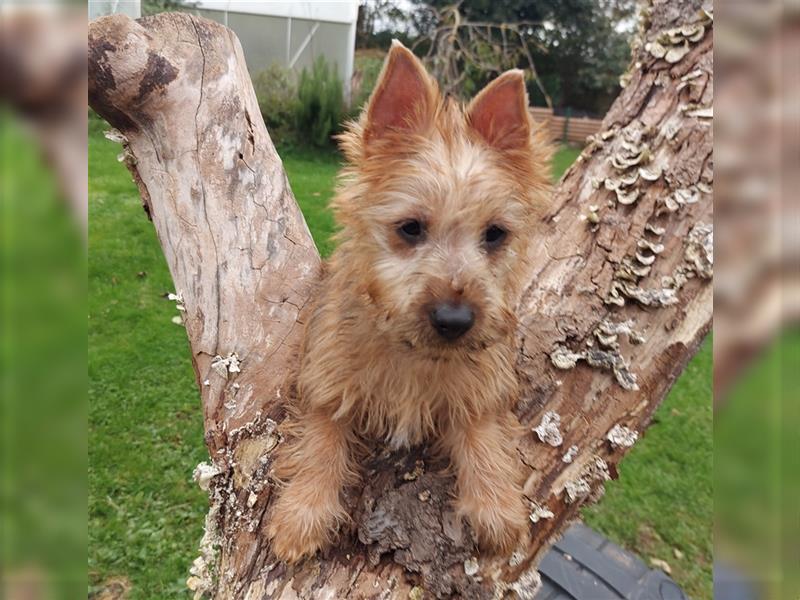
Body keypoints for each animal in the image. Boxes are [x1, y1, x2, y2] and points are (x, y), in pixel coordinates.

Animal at [266, 41, 552, 564]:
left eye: (495, 234)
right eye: (410, 228)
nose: (455, 319)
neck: (412, 354)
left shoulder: (480, 384)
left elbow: (483, 431)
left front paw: (496, 505)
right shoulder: (325, 379)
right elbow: (320, 440)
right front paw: (302, 513)